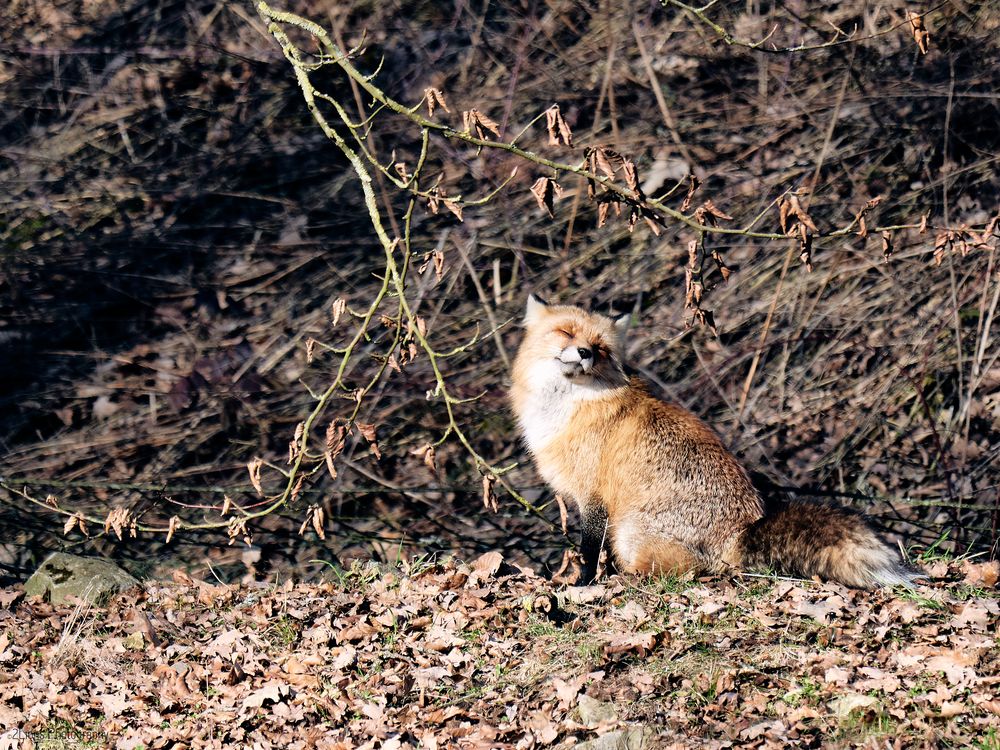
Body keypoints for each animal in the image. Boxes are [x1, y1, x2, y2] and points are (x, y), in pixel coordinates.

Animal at [512, 296, 916, 592]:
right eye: (566, 332)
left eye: (601, 348)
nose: (584, 353)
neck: (569, 406)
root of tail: (740, 533)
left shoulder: (594, 496)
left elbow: (589, 551)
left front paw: (582, 585)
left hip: (630, 532)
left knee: (684, 571)